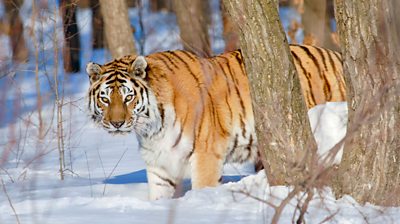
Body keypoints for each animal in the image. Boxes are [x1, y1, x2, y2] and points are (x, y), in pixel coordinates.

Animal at [85, 43, 346, 200]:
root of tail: (337, 54)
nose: (117, 123)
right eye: (105, 99)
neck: (152, 128)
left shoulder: (206, 155)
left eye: (128, 97)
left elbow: (203, 187)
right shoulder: (160, 166)